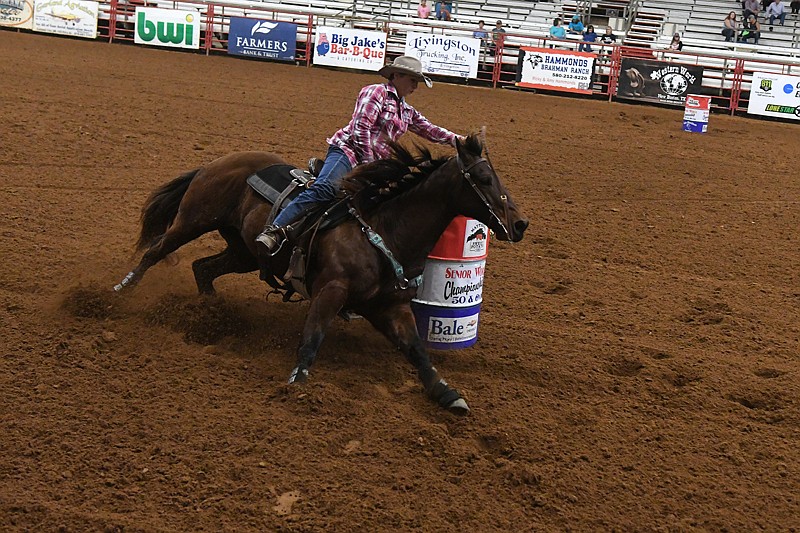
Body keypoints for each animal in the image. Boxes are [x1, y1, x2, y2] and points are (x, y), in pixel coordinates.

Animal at [112, 133, 524, 412]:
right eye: (484, 179)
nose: (520, 224)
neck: (385, 229)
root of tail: (218, 161)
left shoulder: (391, 307)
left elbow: (418, 352)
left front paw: (447, 393)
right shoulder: (330, 290)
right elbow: (312, 337)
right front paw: (296, 382)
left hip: (244, 252)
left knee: (203, 269)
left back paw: (210, 314)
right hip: (193, 219)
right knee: (155, 251)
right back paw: (115, 294)